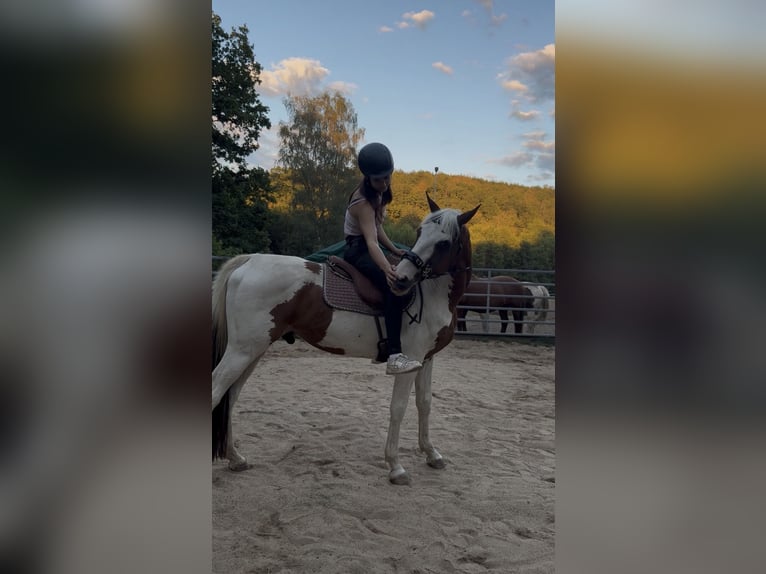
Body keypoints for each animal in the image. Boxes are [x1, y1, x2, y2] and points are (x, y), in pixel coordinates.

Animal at [212, 194, 480, 485]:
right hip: (242, 352)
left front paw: (431, 454)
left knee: (230, 397)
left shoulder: (427, 359)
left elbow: (425, 404)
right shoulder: (410, 360)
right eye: (420, 233)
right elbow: (398, 408)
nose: (401, 280)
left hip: (253, 351)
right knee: (217, 391)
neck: (430, 294)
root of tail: (249, 260)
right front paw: (396, 466)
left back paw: (236, 458)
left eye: (443, 242)